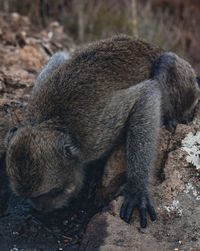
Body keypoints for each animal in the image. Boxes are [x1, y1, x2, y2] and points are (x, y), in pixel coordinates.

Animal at [4, 34, 200, 228]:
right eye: (29, 197)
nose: (41, 208)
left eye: (49, 193)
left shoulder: (95, 134)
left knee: (166, 61)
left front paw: (137, 190)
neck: (52, 123)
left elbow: (146, 93)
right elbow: (59, 57)